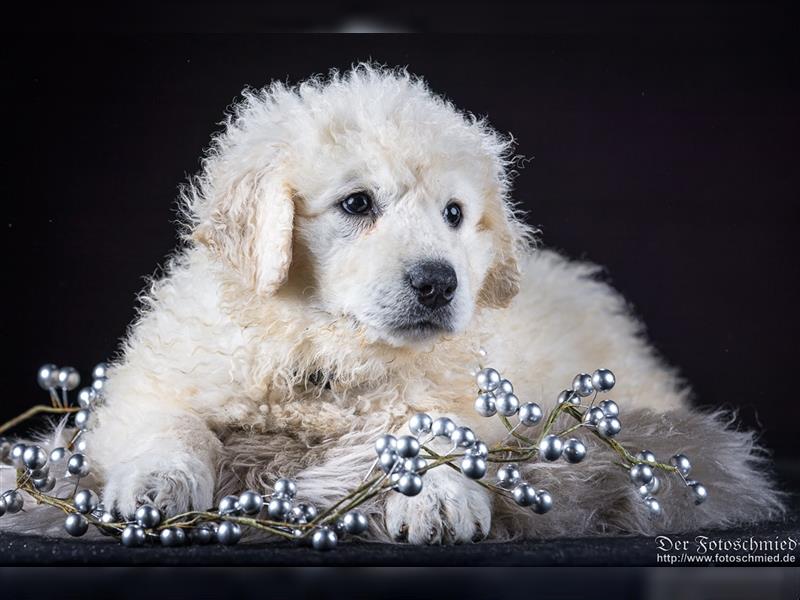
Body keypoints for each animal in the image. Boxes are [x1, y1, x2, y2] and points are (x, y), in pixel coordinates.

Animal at [76, 65, 780, 544]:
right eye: (358, 203)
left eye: (454, 214)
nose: (440, 284)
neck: (329, 351)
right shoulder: (164, 378)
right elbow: (172, 423)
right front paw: (157, 485)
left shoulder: (457, 398)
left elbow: (427, 429)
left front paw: (436, 494)